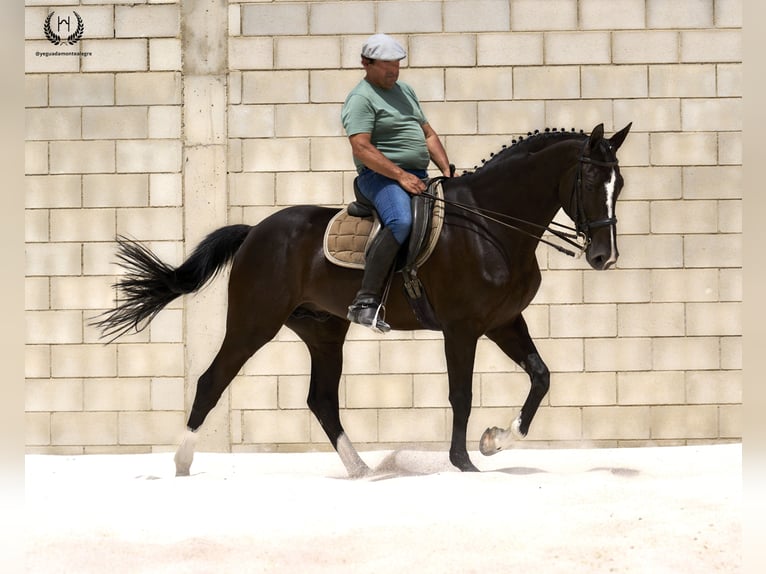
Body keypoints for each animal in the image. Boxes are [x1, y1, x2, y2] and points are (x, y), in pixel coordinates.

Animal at [97, 124, 636, 480]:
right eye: (591, 182)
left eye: (620, 184)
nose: (604, 256)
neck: (490, 223)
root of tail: (255, 231)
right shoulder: (463, 328)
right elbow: (461, 394)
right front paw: (463, 462)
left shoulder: (504, 321)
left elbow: (541, 377)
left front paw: (495, 441)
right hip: (254, 323)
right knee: (212, 381)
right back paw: (182, 464)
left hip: (322, 331)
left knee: (321, 399)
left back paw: (361, 470)